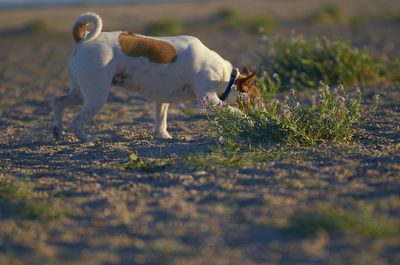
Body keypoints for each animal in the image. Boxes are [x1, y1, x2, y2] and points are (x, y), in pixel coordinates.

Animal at [52, 12, 260, 141]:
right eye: (255, 100)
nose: (263, 113)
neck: (226, 76)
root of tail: (82, 39)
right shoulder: (209, 99)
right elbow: (236, 112)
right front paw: (249, 121)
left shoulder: (162, 101)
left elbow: (161, 121)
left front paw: (163, 136)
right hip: (96, 96)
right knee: (76, 123)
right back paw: (85, 139)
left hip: (81, 93)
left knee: (58, 101)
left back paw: (57, 130)